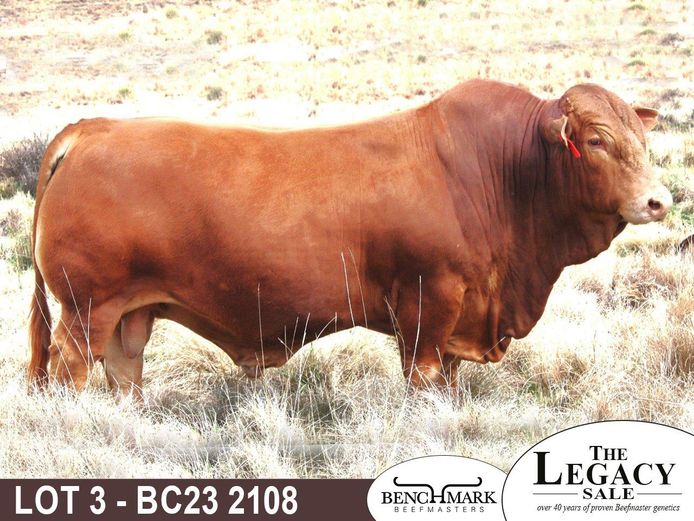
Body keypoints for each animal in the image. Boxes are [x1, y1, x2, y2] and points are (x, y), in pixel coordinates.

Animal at [28, 79, 671, 398]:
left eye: (642, 138)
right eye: (595, 141)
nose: (658, 200)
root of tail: (91, 129)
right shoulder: (428, 305)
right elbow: (425, 379)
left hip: (129, 311)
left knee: (123, 370)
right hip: (85, 307)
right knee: (70, 369)